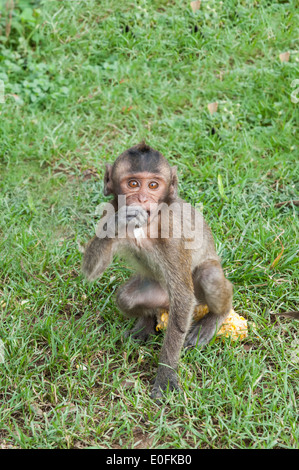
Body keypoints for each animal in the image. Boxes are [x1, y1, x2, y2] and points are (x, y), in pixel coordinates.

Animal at [82, 141, 234, 398]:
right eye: (133, 183)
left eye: (153, 185)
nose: (142, 199)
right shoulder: (108, 211)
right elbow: (91, 270)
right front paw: (120, 221)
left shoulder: (172, 233)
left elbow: (183, 297)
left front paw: (166, 375)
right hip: (158, 293)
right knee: (126, 297)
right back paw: (146, 323)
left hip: (202, 295)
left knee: (209, 277)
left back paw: (214, 319)